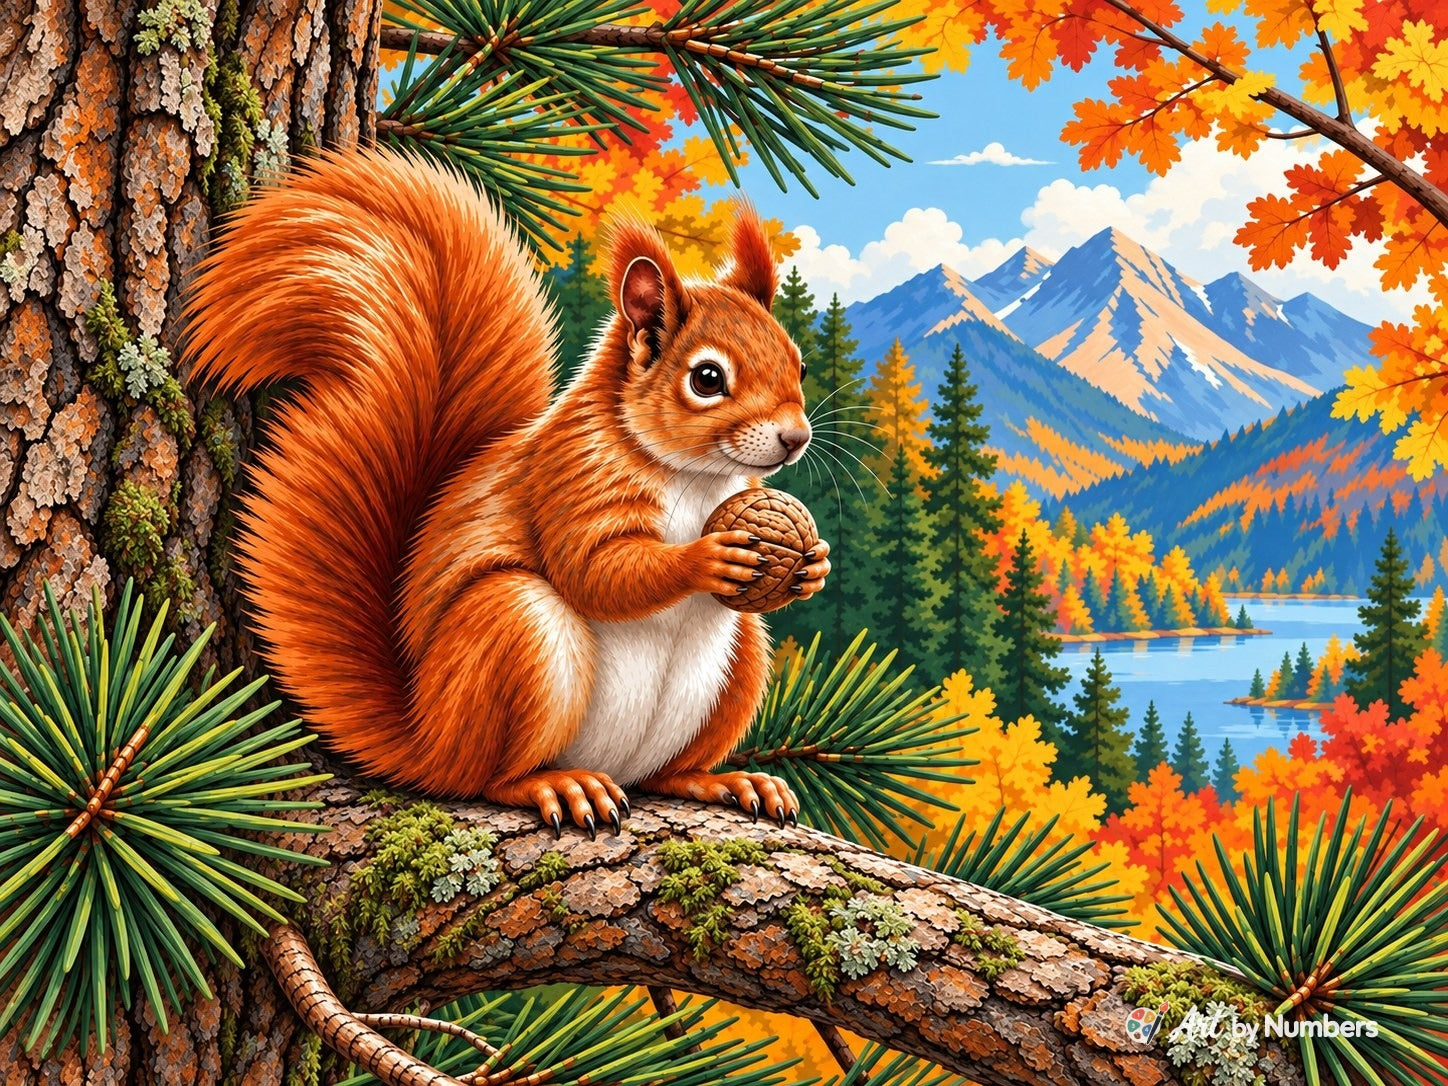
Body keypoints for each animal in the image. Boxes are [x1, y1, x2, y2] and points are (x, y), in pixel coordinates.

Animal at [182, 146, 831, 834]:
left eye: (799, 363)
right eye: (707, 378)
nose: (795, 437)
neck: (698, 475)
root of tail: (426, 740)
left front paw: (814, 563)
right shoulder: (569, 478)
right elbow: (596, 570)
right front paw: (704, 557)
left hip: (740, 661)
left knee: (664, 773)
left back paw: (724, 779)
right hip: (514, 629)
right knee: (487, 780)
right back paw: (557, 785)